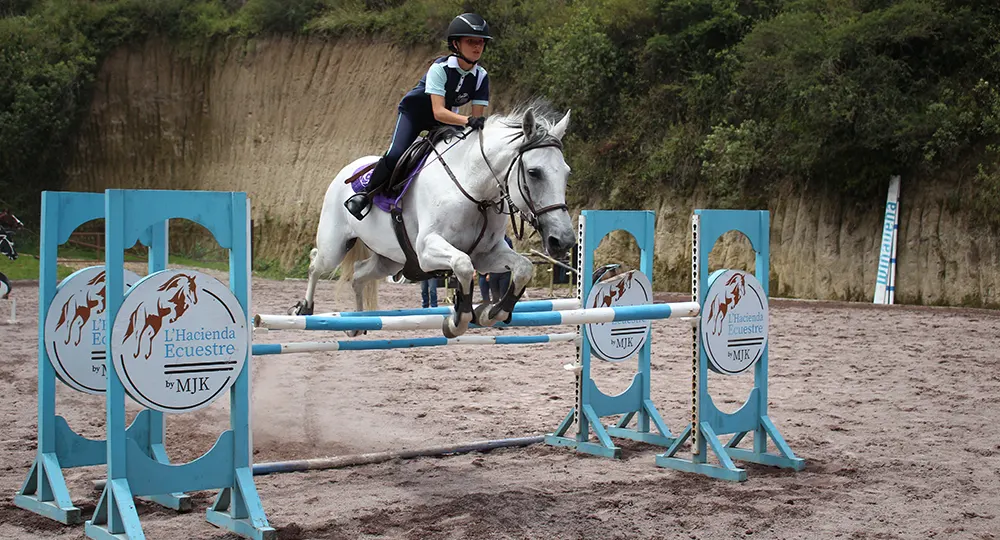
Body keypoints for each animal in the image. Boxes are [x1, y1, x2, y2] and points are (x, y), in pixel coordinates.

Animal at [292, 105, 576, 338]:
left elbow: (523, 268)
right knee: (316, 263)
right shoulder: (427, 250)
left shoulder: (486, 255)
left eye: (566, 173)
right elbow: (462, 265)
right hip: (335, 246)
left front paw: (491, 312)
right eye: (534, 173)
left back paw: (357, 323)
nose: (563, 241)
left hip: (391, 260)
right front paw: (458, 319)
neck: (475, 192)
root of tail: (348, 168)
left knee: (359, 274)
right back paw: (304, 308)